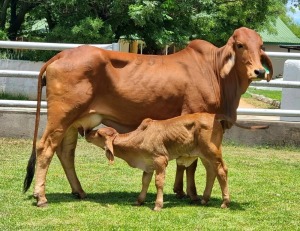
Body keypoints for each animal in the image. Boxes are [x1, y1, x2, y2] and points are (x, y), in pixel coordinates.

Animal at [84, 113, 268, 210]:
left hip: (213, 152)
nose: (86, 132)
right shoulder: (148, 165)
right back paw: (204, 199)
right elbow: (145, 181)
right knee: (211, 172)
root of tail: (215, 117)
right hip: (204, 156)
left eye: (98, 134)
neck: (139, 138)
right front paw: (139, 200)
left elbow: (159, 182)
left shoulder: (160, 160)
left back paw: (225, 202)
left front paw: (158, 205)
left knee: (222, 171)